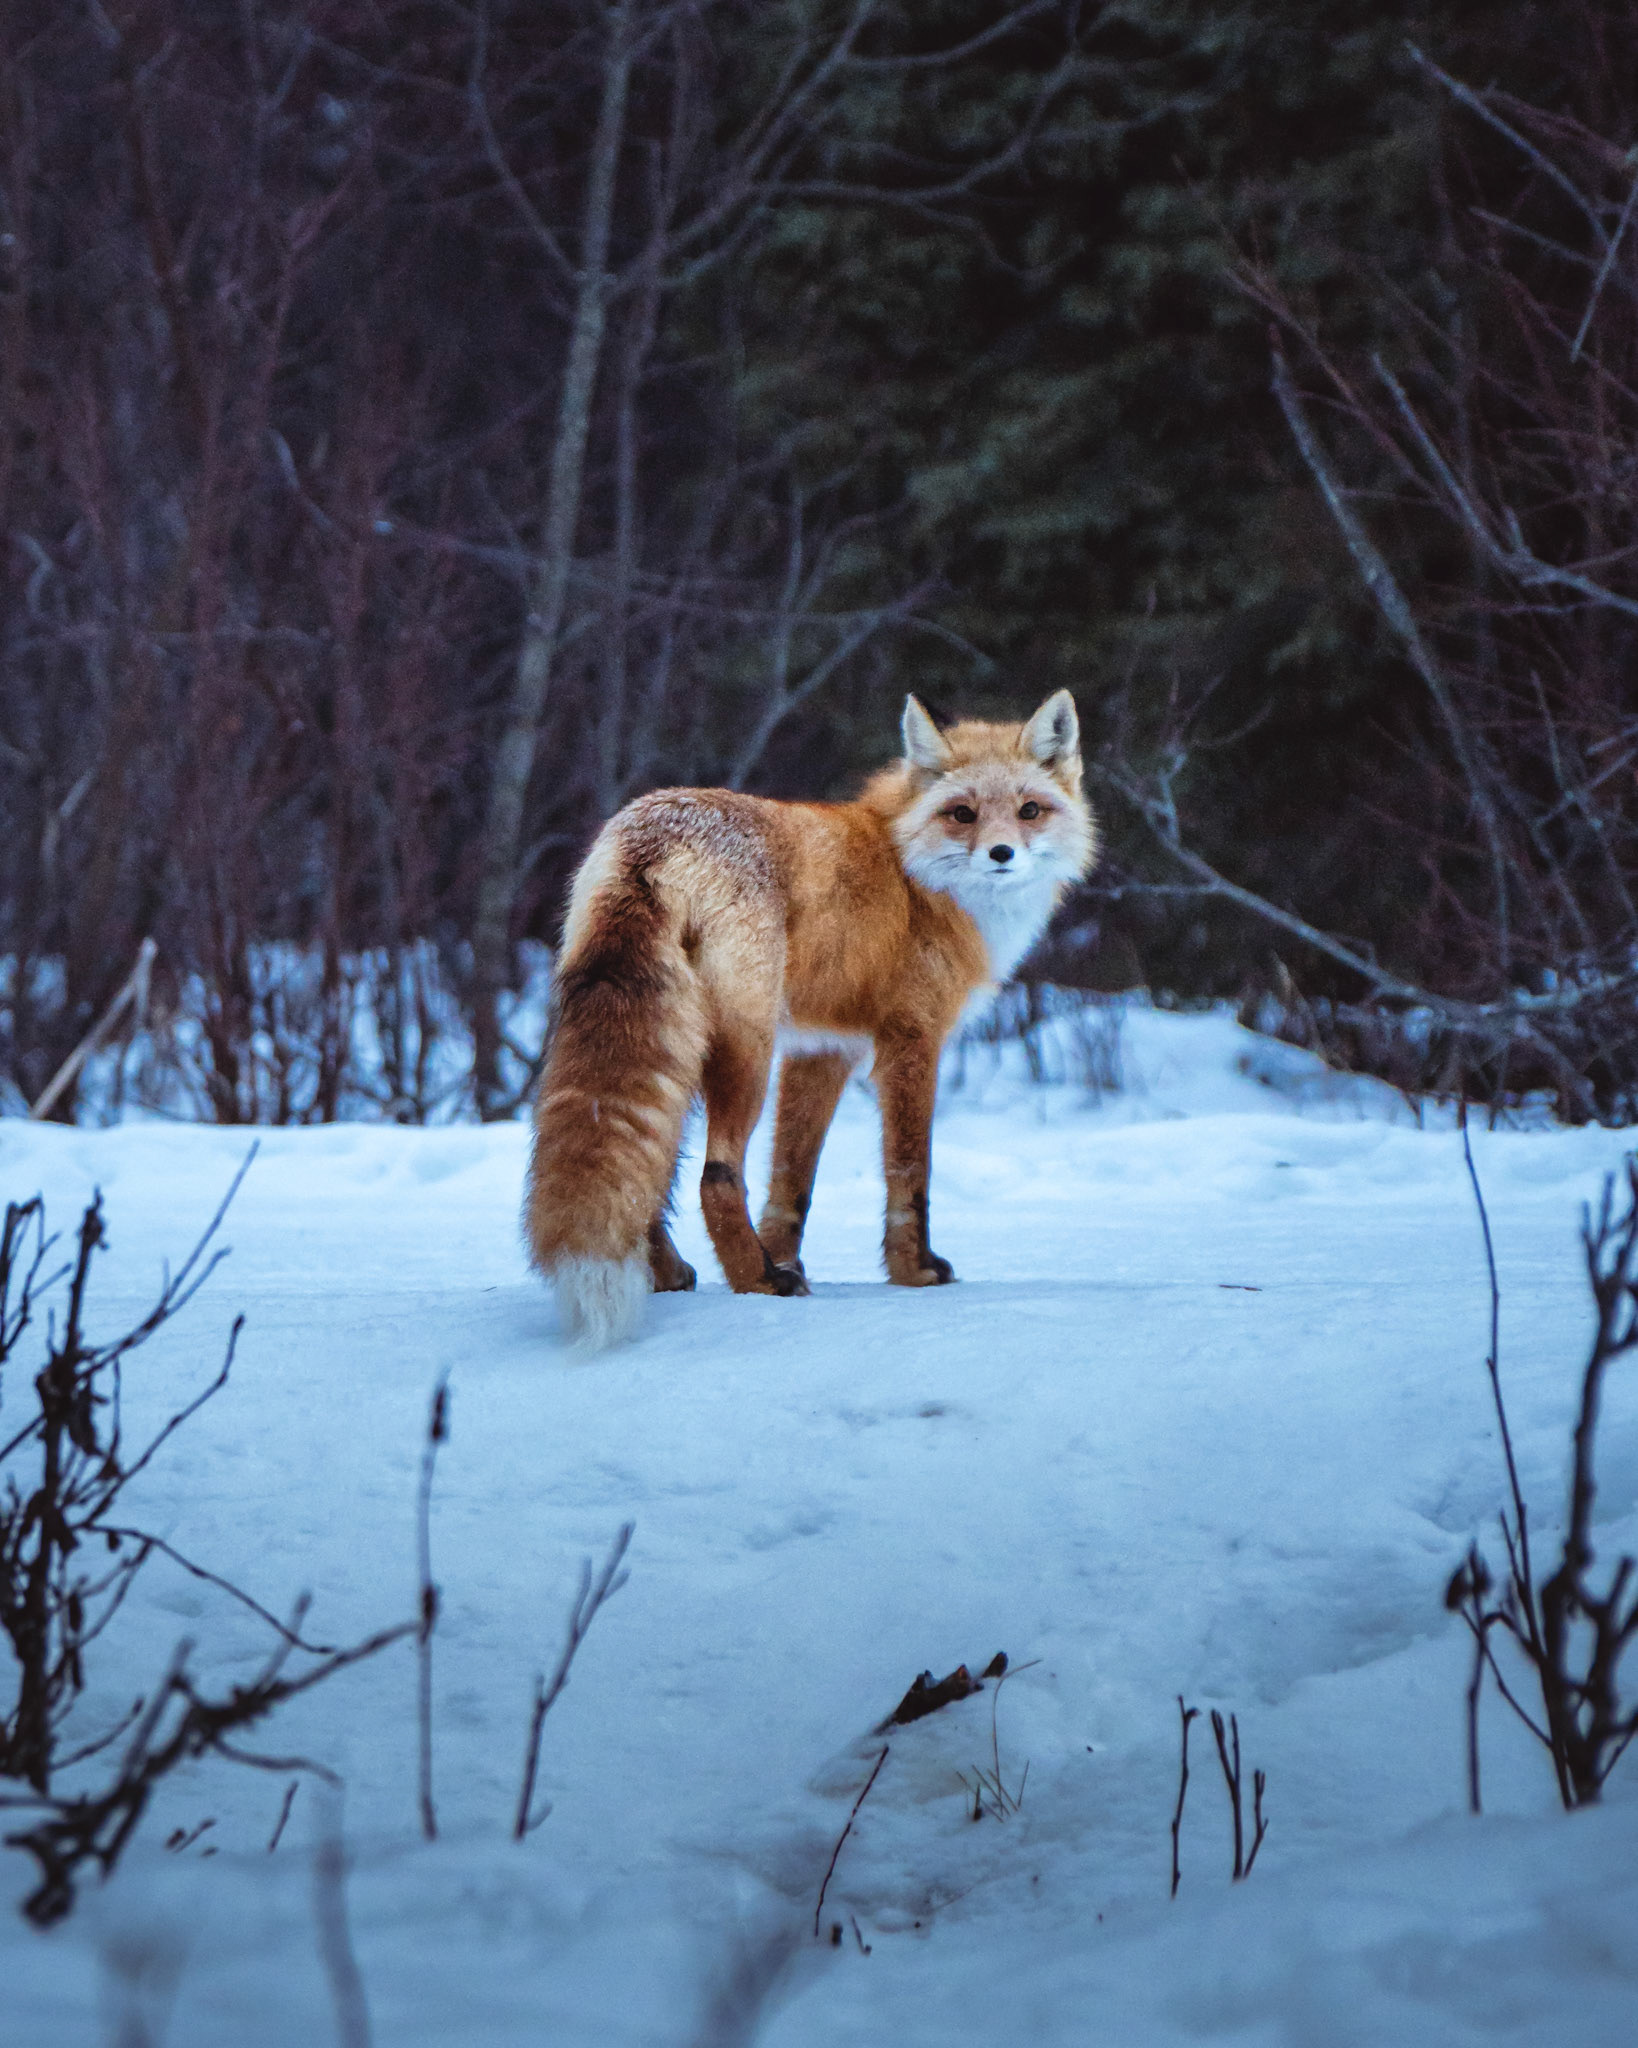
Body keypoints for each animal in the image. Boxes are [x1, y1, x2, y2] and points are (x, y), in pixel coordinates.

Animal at [525, 689, 1097, 1346]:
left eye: (1030, 811)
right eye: (962, 814)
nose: (1002, 854)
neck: (913, 876)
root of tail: (653, 836)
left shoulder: (824, 1047)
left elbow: (792, 1182)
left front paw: (786, 1255)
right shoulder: (912, 1038)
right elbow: (911, 1171)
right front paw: (914, 1270)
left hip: (676, 1040)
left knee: (652, 1171)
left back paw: (678, 1274)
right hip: (746, 1050)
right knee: (716, 1175)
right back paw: (758, 1281)